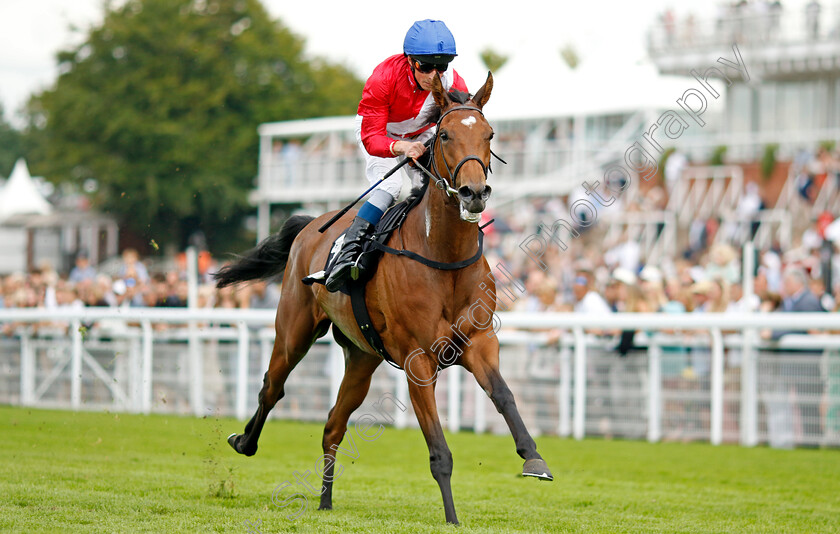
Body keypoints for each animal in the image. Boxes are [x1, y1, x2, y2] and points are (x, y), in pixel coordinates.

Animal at [217, 72, 552, 528]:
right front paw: (451, 517)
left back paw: (325, 501)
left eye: (489, 134)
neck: (443, 255)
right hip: (293, 331)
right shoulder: (418, 359)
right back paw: (245, 441)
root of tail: (312, 222)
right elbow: (439, 450)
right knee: (272, 387)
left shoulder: (479, 343)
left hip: (362, 357)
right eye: (444, 134)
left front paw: (534, 458)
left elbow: (504, 395)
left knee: (333, 424)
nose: (474, 193)